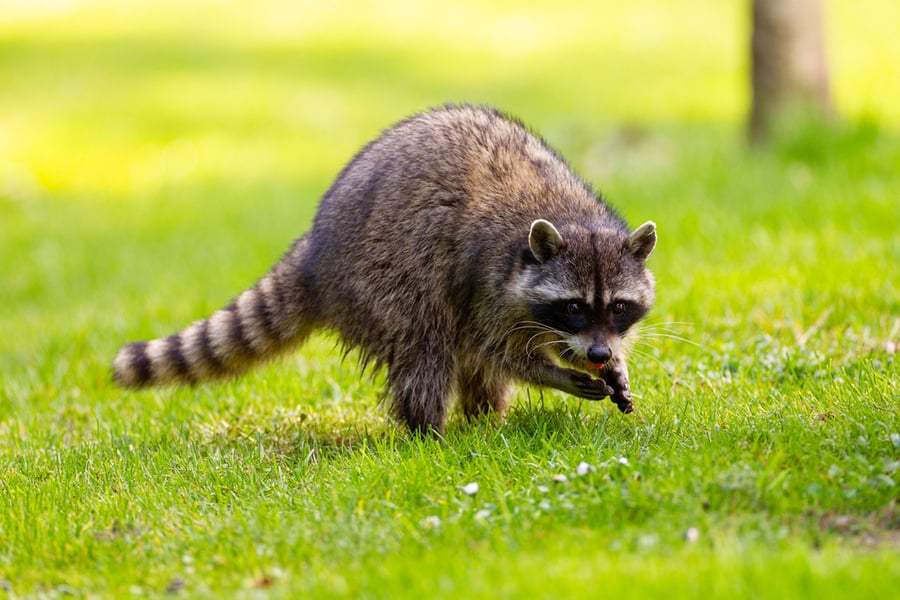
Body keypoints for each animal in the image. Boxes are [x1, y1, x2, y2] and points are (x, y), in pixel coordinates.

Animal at [116, 105, 656, 436]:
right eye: (573, 306)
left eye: (618, 307)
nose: (599, 352)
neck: (571, 215)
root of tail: (315, 249)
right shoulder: (487, 279)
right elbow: (497, 349)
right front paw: (554, 374)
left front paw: (611, 365)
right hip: (381, 277)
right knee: (426, 346)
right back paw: (430, 432)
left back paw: (485, 418)